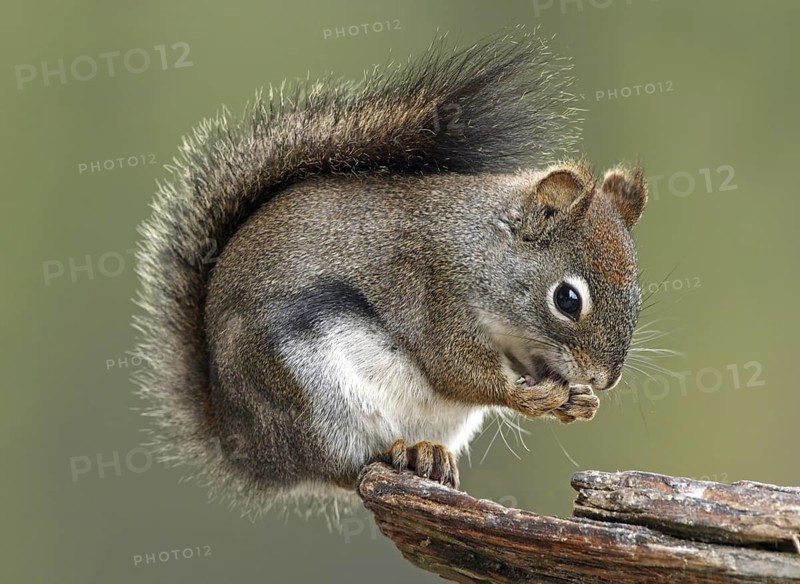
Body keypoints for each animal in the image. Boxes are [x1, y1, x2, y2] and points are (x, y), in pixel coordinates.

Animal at [132, 29, 647, 515]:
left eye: (638, 299)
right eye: (567, 299)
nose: (605, 380)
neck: (481, 250)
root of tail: (247, 446)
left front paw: (579, 400)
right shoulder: (431, 289)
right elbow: (455, 371)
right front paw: (528, 398)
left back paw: (428, 454)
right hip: (305, 395)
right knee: (345, 470)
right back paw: (394, 454)